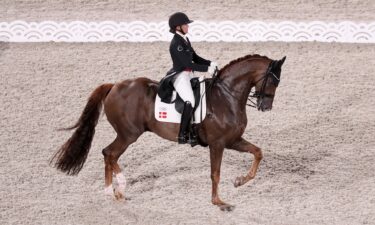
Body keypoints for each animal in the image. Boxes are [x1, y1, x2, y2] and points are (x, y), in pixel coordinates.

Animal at [51, 54, 288, 211]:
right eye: (273, 80)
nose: (266, 107)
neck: (226, 96)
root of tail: (115, 86)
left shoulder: (233, 140)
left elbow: (258, 152)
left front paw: (239, 181)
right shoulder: (218, 144)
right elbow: (215, 173)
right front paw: (219, 202)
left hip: (127, 135)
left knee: (109, 154)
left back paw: (116, 191)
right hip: (129, 134)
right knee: (109, 153)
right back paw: (115, 190)